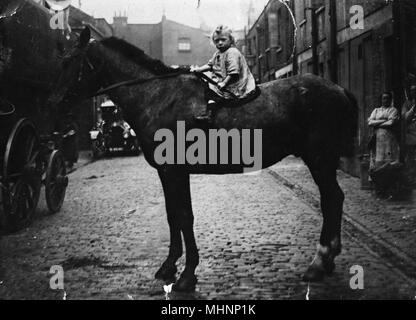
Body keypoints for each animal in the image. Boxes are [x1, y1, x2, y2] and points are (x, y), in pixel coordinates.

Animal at [48, 28, 358, 292]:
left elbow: (185, 216)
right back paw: (327, 260)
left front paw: (187, 275)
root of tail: (338, 89)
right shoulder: (165, 172)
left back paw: (319, 262)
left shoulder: (175, 171)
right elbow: (173, 215)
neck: (158, 97)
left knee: (331, 198)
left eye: (71, 62)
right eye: (60, 62)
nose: (54, 104)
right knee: (334, 199)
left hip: (319, 157)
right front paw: (169, 266)